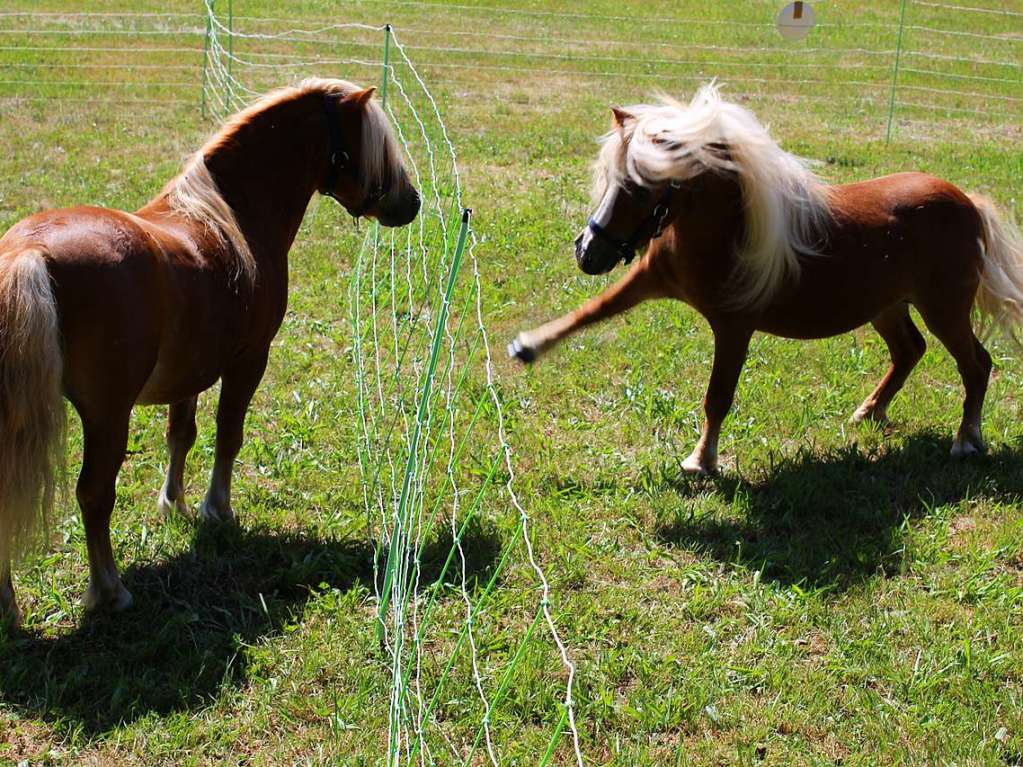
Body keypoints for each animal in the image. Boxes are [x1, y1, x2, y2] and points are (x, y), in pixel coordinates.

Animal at [0, 78, 419, 625]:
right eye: (372, 144)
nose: (411, 203)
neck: (231, 213)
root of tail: (29, 253)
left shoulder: (189, 372)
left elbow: (181, 436)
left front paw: (173, 504)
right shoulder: (248, 360)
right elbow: (228, 434)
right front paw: (216, 509)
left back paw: (7, 605)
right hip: (108, 416)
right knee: (94, 494)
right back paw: (110, 590)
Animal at [515, 83, 1023, 478]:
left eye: (641, 186)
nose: (587, 252)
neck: (727, 230)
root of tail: (968, 202)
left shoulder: (734, 327)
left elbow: (718, 396)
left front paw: (701, 461)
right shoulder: (647, 279)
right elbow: (589, 313)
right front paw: (528, 346)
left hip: (944, 308)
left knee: (976, 364)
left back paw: (966, 440)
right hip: (887, 307)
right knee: (909, 351)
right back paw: (869, 412)